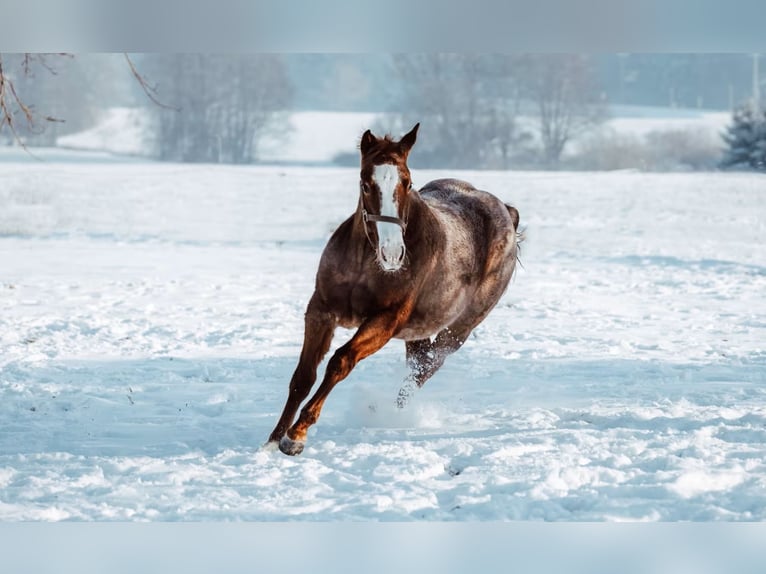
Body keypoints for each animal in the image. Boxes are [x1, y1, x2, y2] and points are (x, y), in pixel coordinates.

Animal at [267, 123, 522, 456]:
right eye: (365, 183)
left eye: (407, 181)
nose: (392, 254)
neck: (366, 262)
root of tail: (505, 210)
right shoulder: (320, 311)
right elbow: (303, 376)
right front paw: (273, 439)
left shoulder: (386, 321)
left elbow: (340, 362)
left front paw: (296, 435)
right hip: (418, 331)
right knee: (417, 366)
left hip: (458, 330)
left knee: (425, 369)